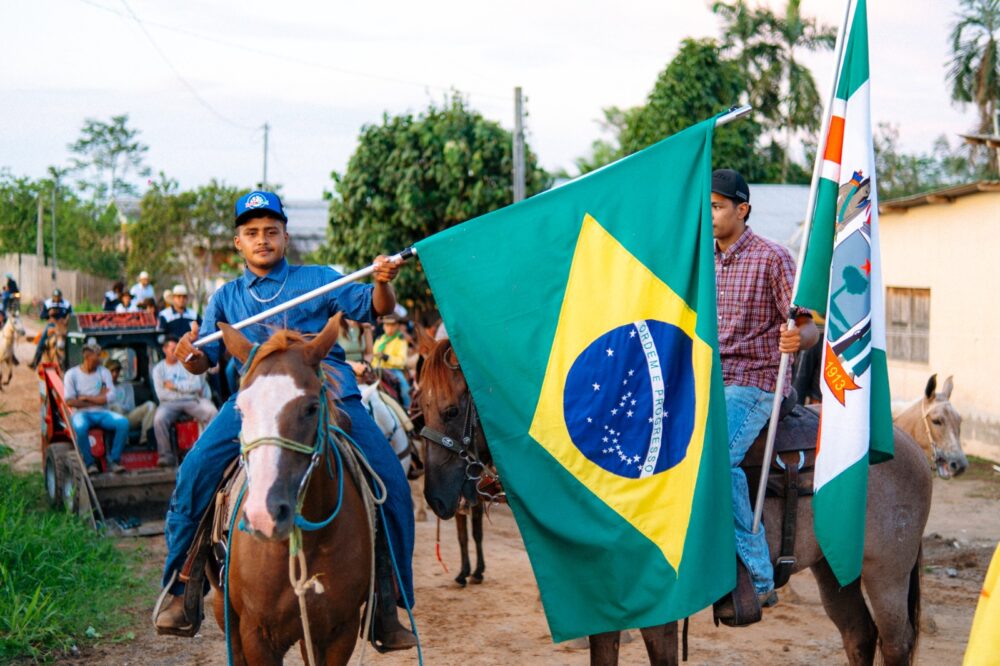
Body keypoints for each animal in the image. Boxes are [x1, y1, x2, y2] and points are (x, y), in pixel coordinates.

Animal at [418, 336, 932, 666]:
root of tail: (907, 447)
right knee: (859, 637)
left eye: (451, 410)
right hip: (834, 571)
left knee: (894, 644)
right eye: (418, 406)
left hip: (886, 576)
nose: (436, 498)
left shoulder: (658, 610)